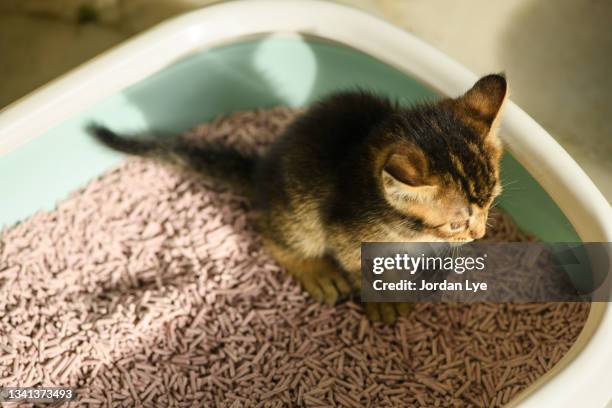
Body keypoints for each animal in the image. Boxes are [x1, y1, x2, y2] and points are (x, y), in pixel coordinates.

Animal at [89, 72, 506, 322]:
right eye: (456, 222)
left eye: (490, 204)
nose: (479, 235)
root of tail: (261, 172)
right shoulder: (344, 230)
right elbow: (361, 265)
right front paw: (383, 298)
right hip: (299, 212)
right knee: (271, 234)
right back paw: (315, 270)